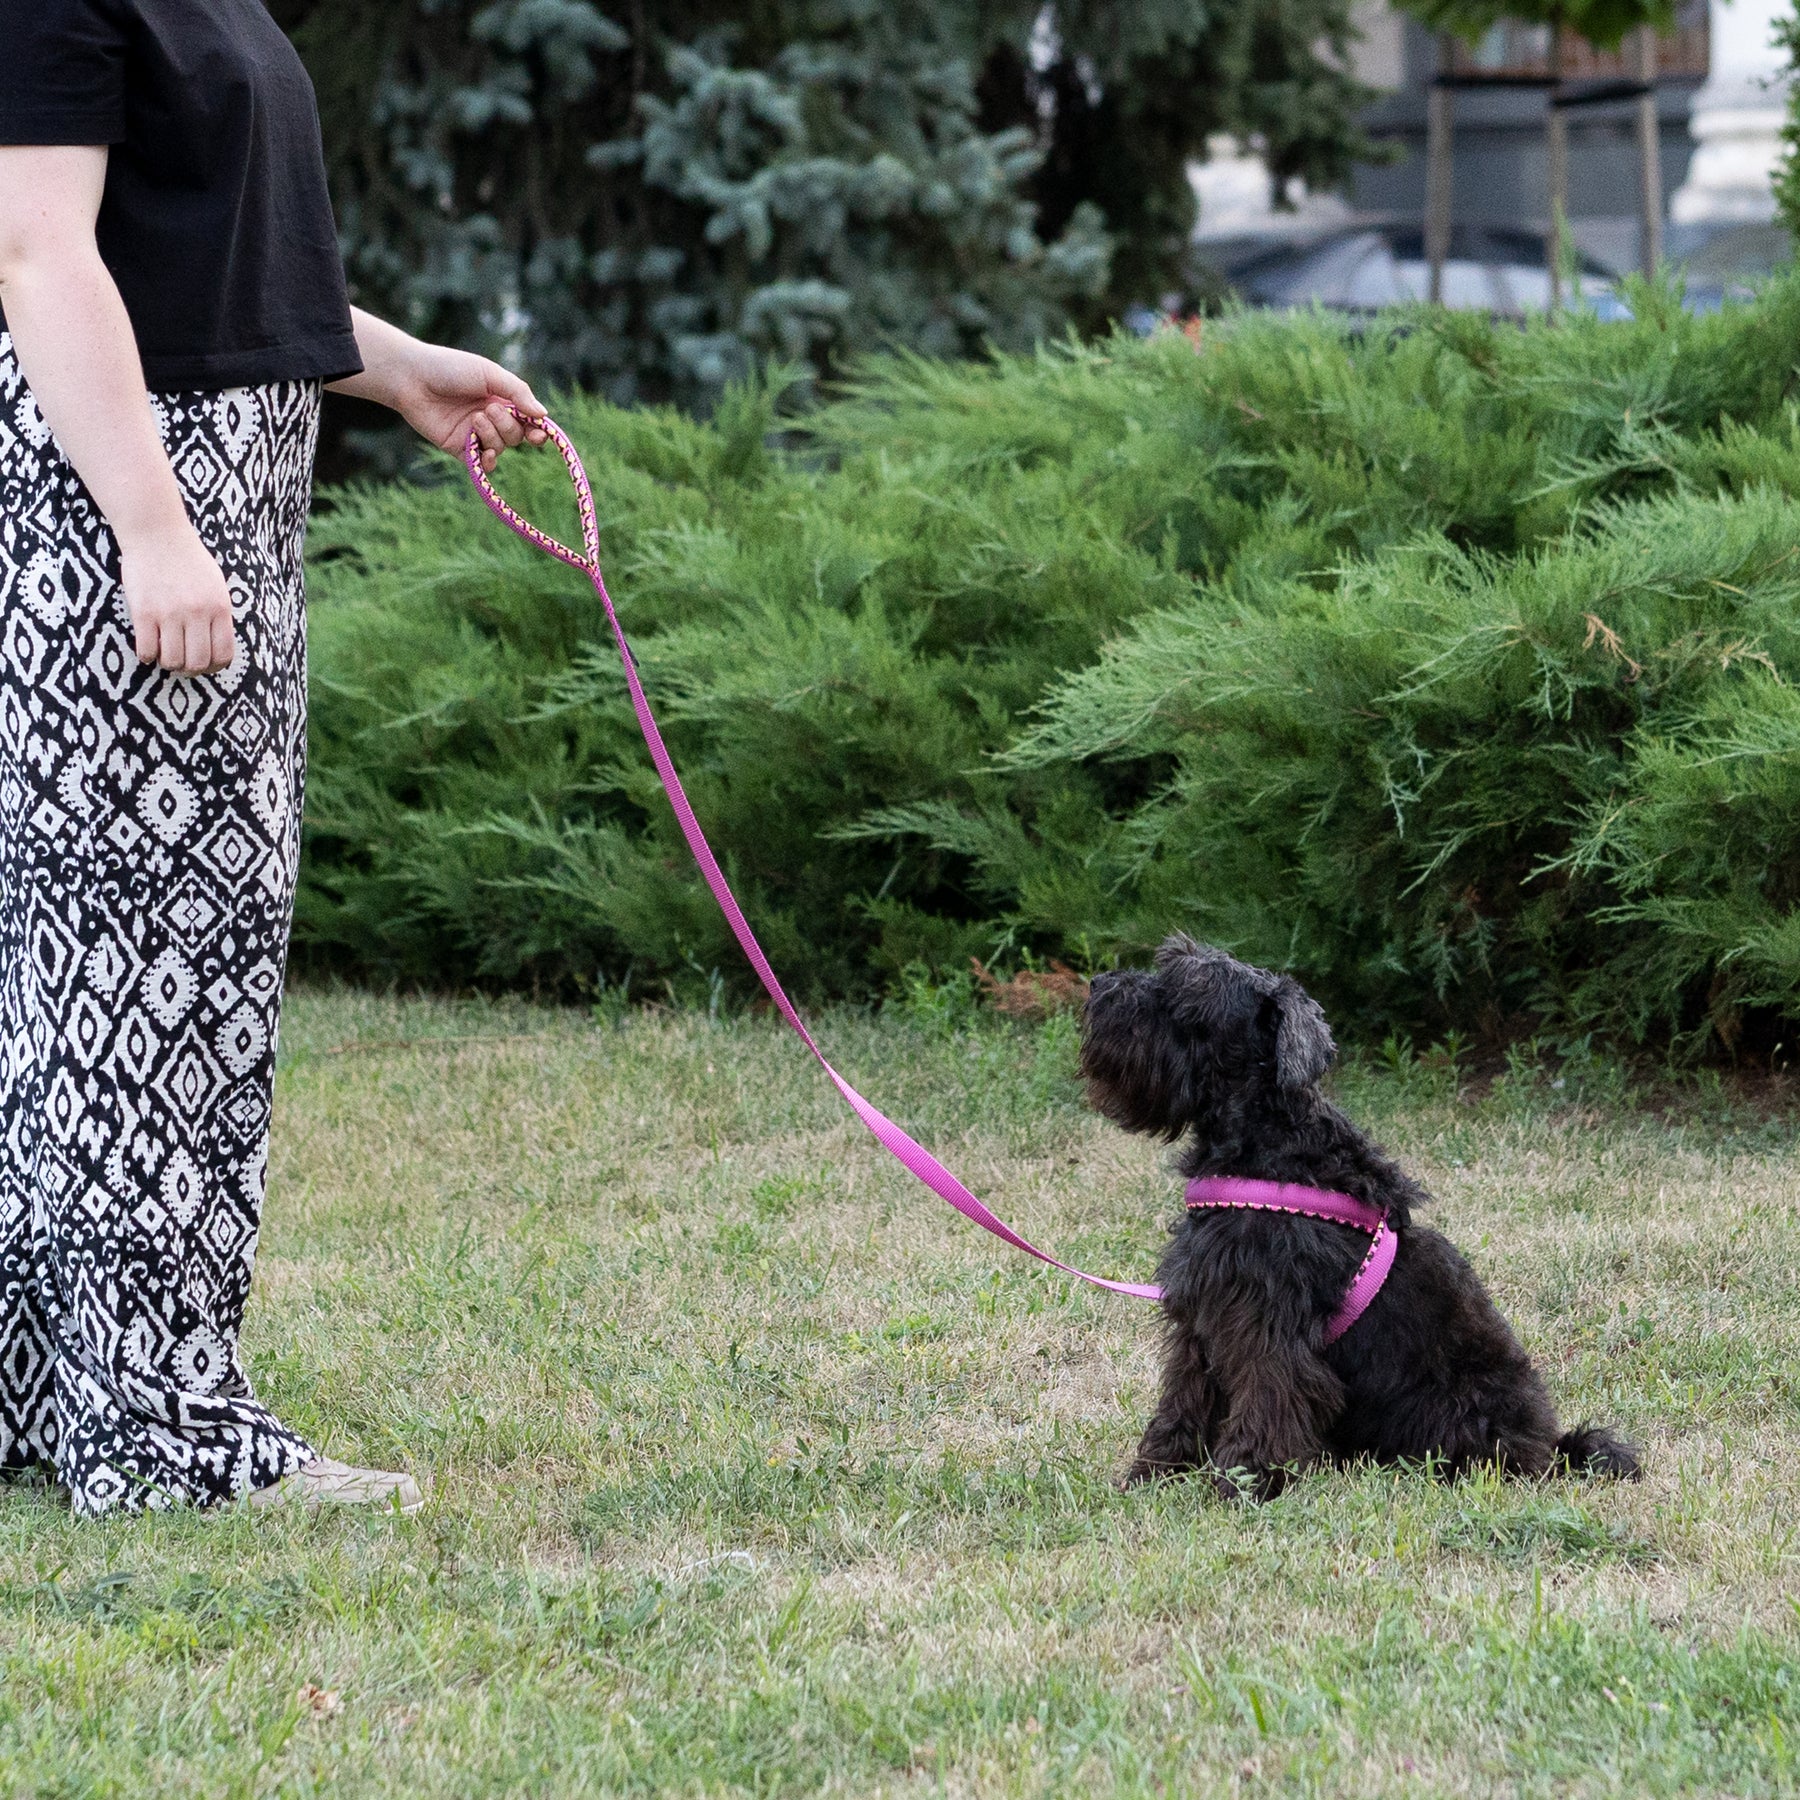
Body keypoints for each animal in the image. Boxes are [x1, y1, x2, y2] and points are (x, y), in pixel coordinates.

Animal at [1080, 935, 1640, 1499]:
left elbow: (1266, 1400)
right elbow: (1183, 1401)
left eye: (1185, 991)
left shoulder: (1266, 1327)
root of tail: (1551, 1452)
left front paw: (1244, 1484)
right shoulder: (1202, 1319)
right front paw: (1156, 1475)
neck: (1267, 1143)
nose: (1097, 985)